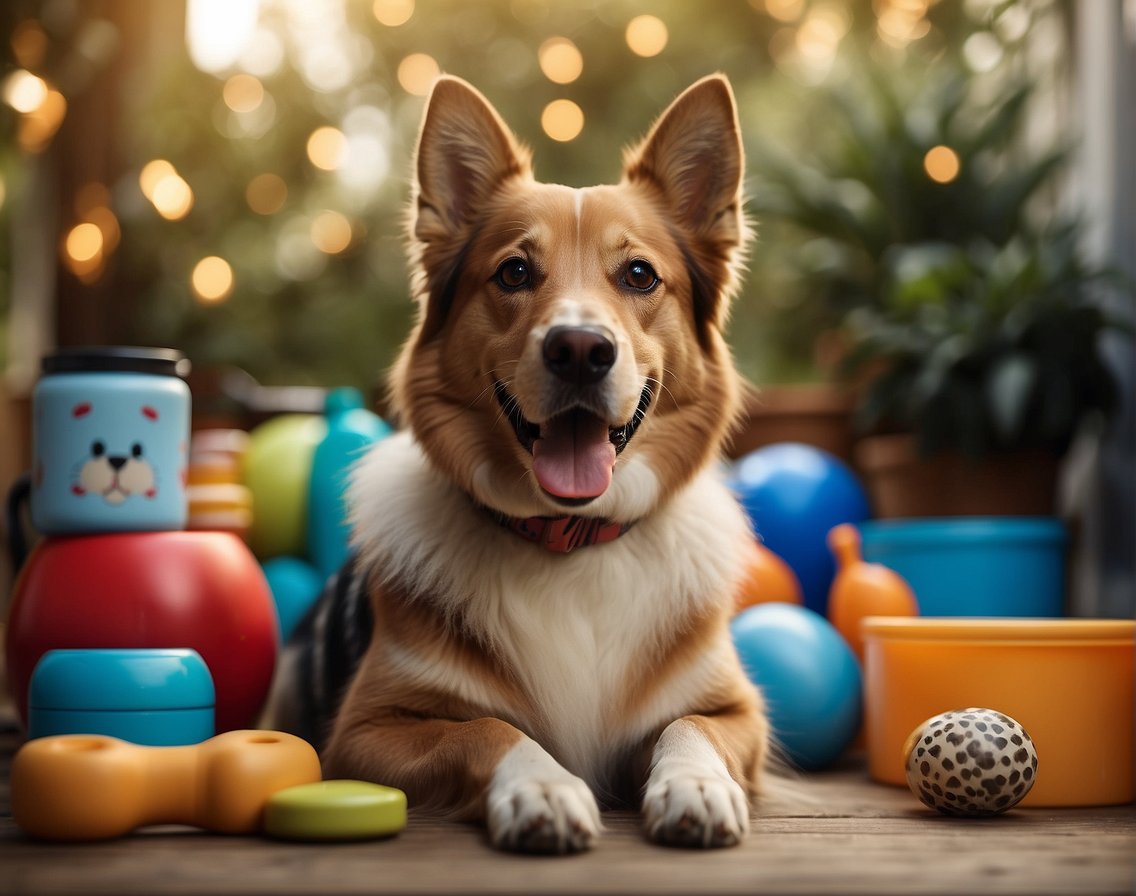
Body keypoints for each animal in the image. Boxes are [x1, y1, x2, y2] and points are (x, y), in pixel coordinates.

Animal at [268, 73, 772, 849]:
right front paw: (542, 788)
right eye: (513, 272)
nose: (580, 349)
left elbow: (689, 726)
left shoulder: (737, 712)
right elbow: (489, 729)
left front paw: (695, 785)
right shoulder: (365, 732)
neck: (569, 544)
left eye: (638, 274)